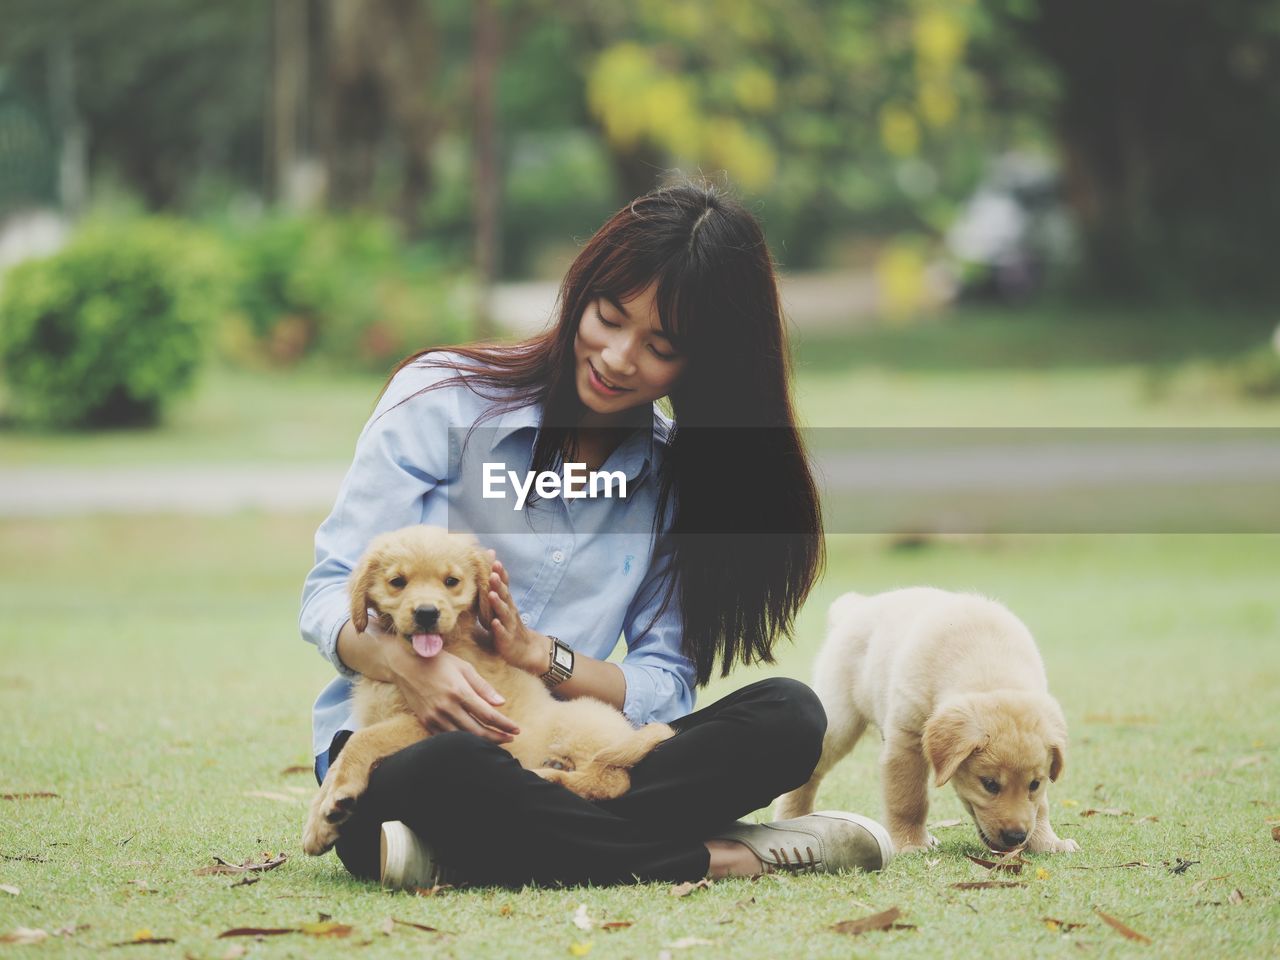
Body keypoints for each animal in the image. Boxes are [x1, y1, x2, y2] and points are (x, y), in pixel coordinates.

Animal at [303, 529, 675, 860]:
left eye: (451, 581)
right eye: (398, 582)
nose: (426, 614)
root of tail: (631, 731)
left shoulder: (443, 718)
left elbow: (360, 741)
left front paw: (336, 799)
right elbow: (343, 754)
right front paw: (319, 823)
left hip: (579, 726)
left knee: (614, 779)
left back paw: (549, 774)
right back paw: (556, 766)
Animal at [773, 586, 1075, 855]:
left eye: (1034, 784)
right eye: (989, 784)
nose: (1015, 837)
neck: (988, 664)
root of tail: (854, 608)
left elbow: (1040, 807)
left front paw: (1048, 842)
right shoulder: (906, 742)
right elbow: (909, 800)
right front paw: (910, 843)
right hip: (837, 723)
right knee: (809, 775)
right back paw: (792, 817)